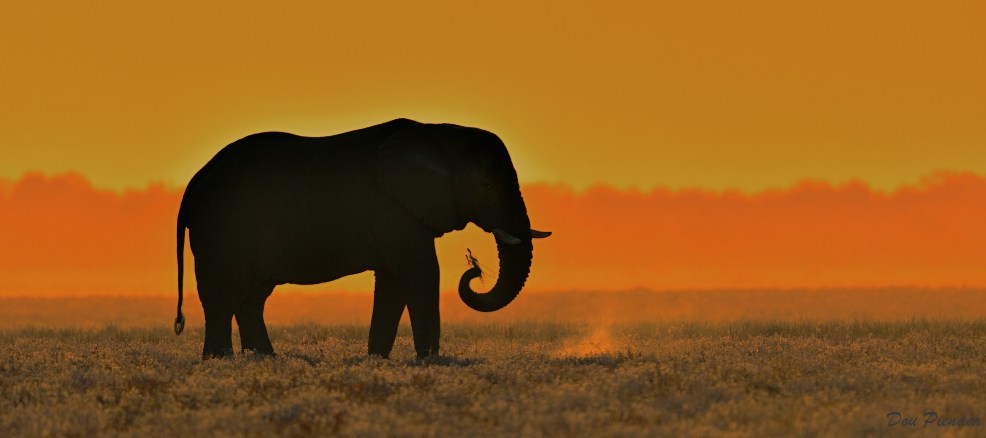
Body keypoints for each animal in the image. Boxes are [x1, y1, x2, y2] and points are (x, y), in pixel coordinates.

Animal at [174, 118, 551, 359]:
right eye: (485, 186)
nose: (473, 268)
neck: (438, 134)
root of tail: (194, 181)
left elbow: (393, 280)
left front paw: (377, 361)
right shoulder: (393, 207)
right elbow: (421, 272)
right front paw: (428, 361)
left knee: (252, 297)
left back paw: (264, 359)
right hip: (223, 227)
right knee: (224, 295)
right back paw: (220, 361)